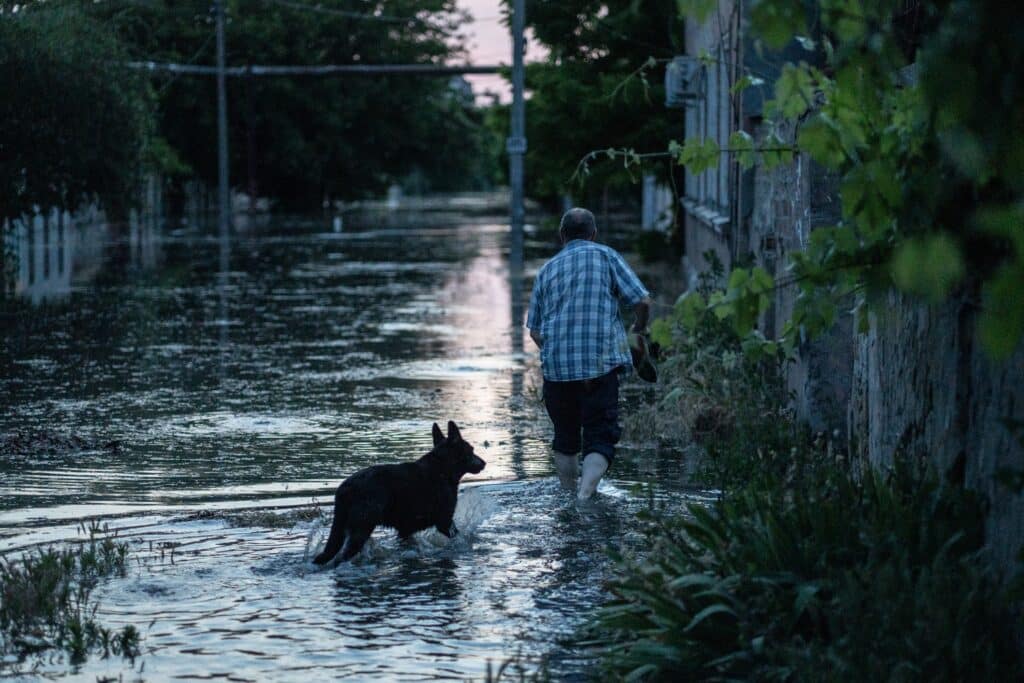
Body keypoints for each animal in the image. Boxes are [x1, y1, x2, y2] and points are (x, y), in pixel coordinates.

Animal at [311, 421, 487, 565]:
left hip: (342, 529)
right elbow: (460, 537)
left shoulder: (406, 530)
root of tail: (344, 489)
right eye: (471, 450)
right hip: (361, 529)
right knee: (341, 557)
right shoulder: (445, 522)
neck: (443, 470)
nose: (484, 463)